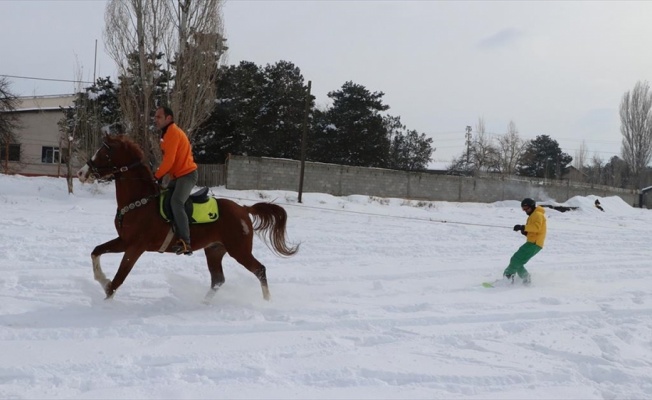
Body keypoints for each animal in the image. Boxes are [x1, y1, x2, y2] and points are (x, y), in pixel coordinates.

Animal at [76, 134, 298, 300]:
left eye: (104, 153)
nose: (81, 172)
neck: (140, 201)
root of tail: (243, 209)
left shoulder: (135, 247)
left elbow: (119, 277)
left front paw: (106, 298)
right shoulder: (124, 241)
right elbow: (96, 251)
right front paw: (102, 280)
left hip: (239, 250)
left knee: (259, 270)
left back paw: (267, 301)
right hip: (214, 250)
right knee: (218, 279)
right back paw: (204, 304)